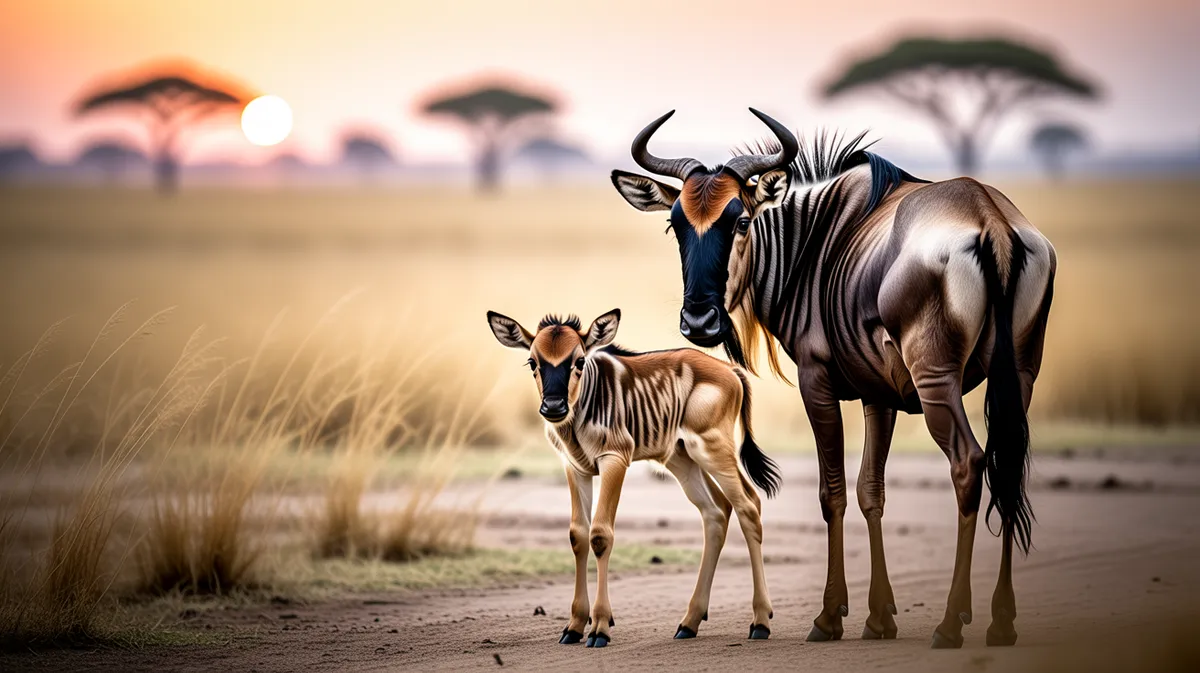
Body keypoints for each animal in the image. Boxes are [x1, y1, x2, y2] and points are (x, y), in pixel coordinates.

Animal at [487, 308, 780, 647]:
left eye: (579, 361)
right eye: (533, 362)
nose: (554, 407)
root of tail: (731, 369)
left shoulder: (615, 459)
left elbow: (600, 534)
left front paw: (600, 626)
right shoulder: (575, 468)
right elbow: (577, 535)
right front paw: (574, 626)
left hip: (713, 450)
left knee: (748, 505)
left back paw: (760, 621)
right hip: (682, 458)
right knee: (717, 511)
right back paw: (689, 622)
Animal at [611, 109, 1056, 649]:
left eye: (741, 220)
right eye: (675, 225)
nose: (699, 322)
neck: (811, 242)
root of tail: (990, 218)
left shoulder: (817, 382)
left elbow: (833, 492)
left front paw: (828, 617)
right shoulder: (878, 395)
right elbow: (870, 490)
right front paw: (879, 618)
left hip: (937, 382)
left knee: (969, 464)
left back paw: (952, 622)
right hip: (1019, 376)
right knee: (1007, 465)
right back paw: (1002, 620)